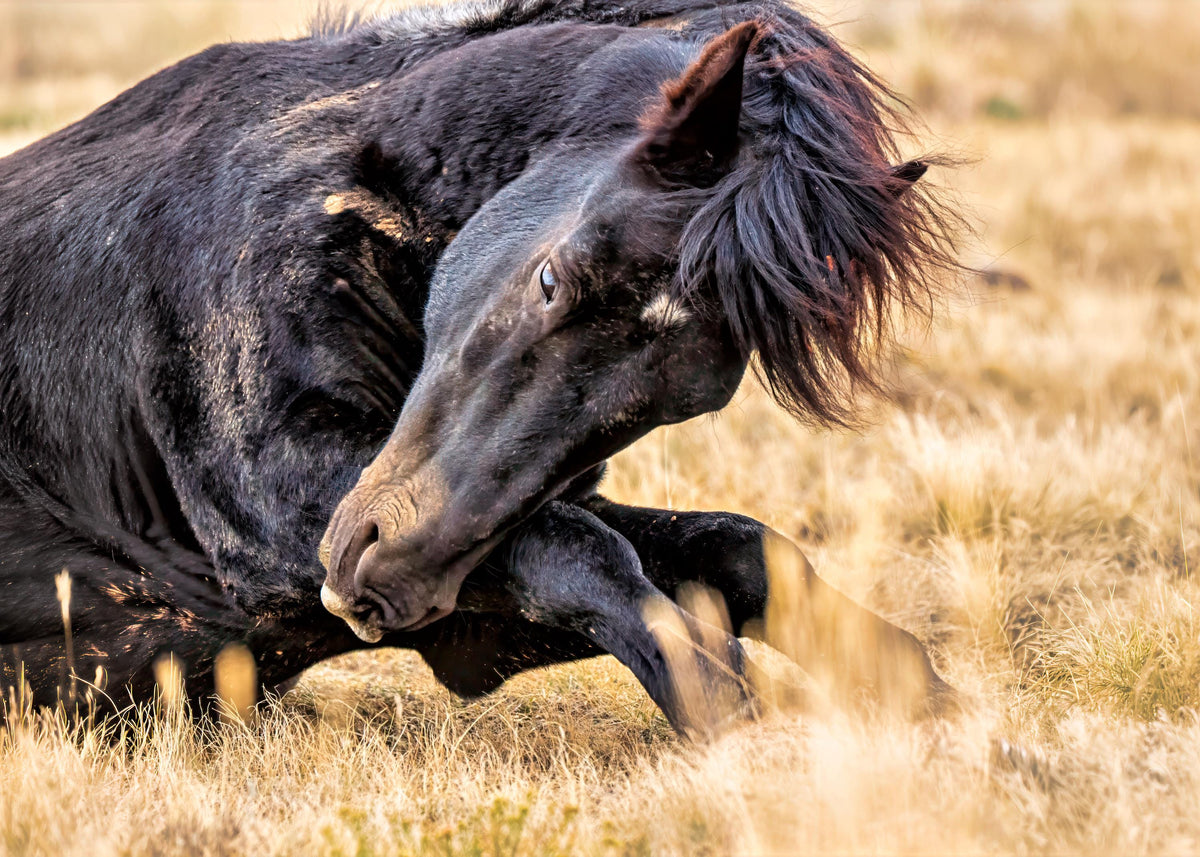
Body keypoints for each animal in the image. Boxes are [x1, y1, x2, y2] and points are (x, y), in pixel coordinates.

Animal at [0, 0, 959, 735]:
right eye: (551, 279)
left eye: (694, 397)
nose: (380, 579)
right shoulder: (271, 524)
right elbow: (584, 554)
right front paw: (724, 703)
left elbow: (733, 549)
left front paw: (921, 695)